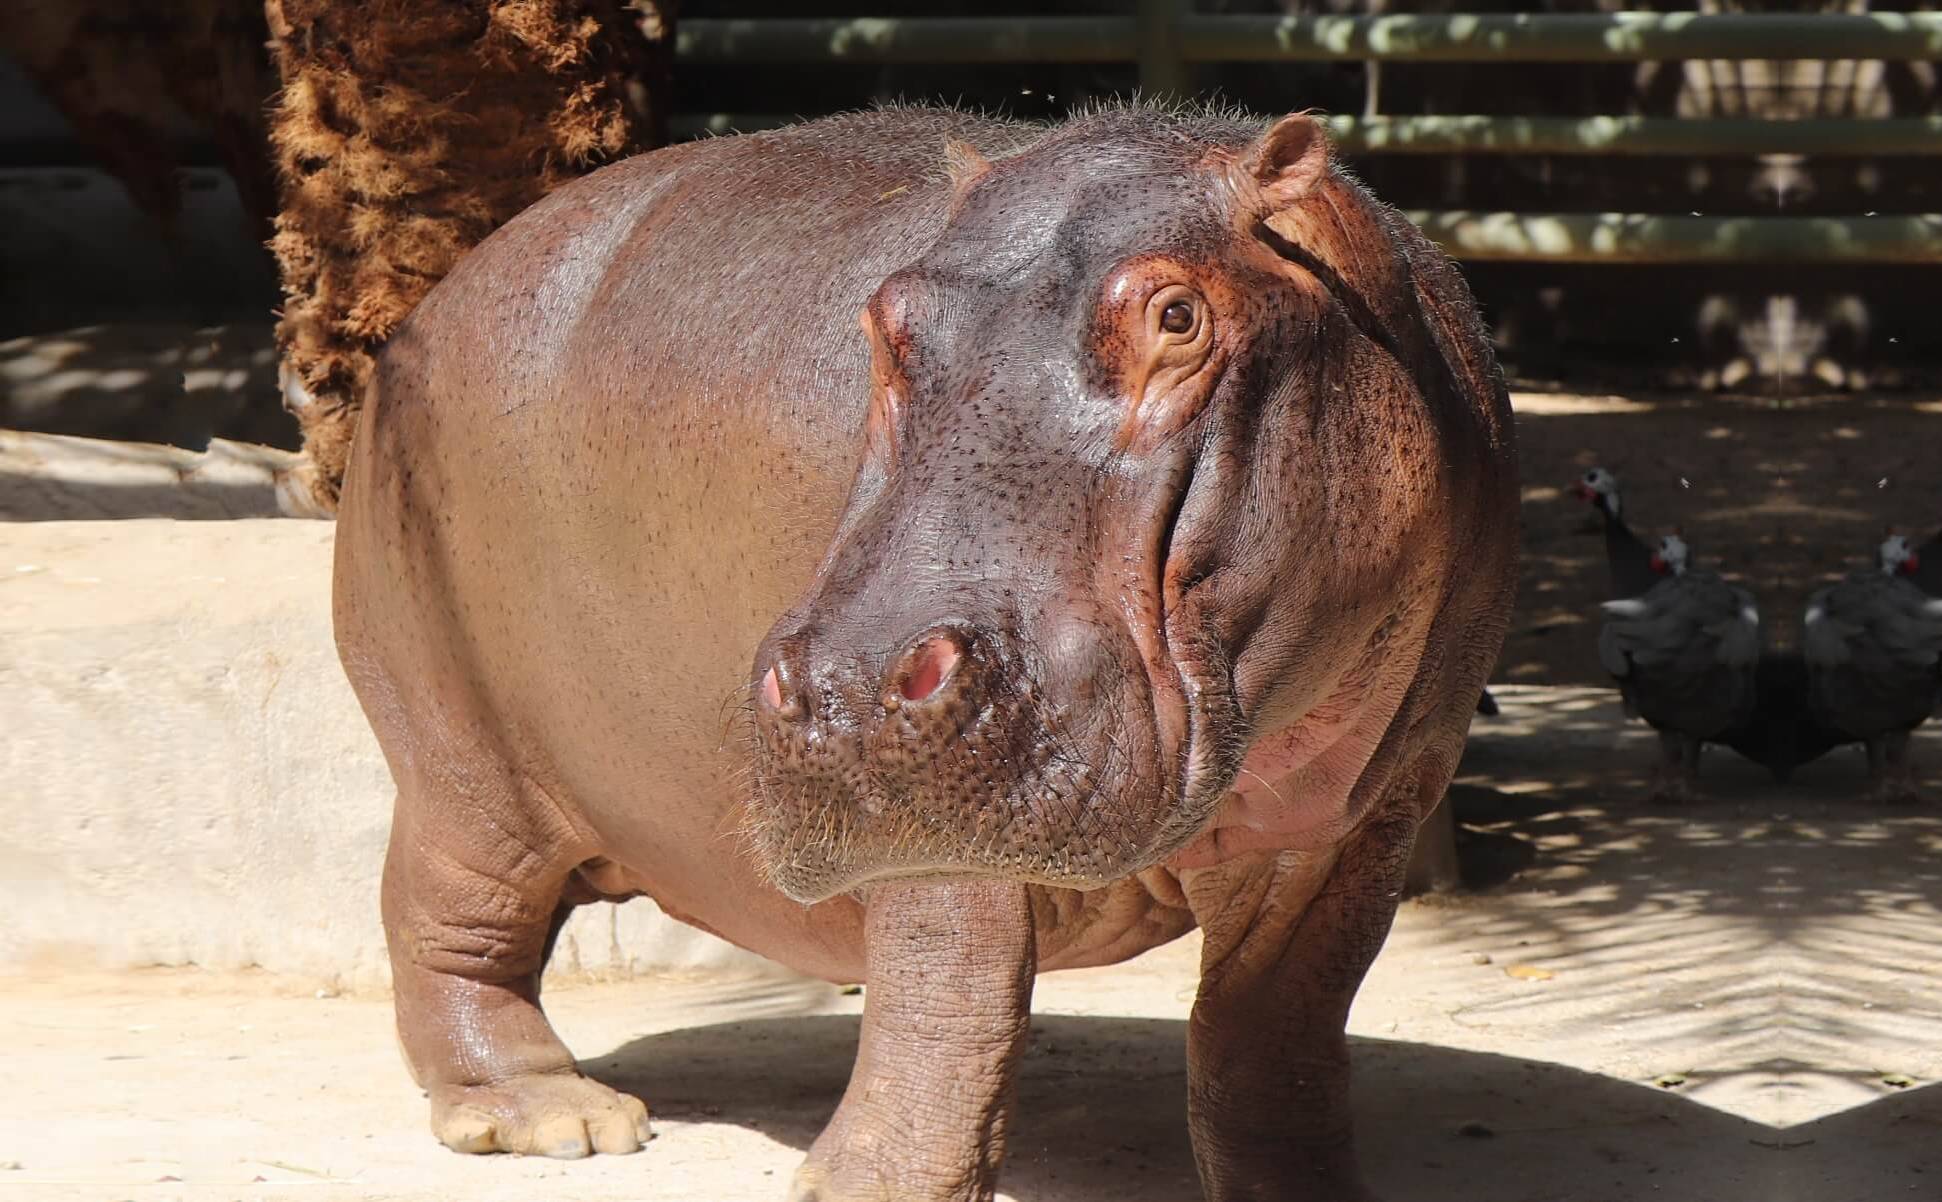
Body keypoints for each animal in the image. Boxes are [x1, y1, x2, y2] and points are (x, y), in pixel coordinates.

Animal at [332, 104, 1518, 1201]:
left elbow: (1275, 1035)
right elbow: (952, 998)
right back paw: (561, 1119)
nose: (845, 686)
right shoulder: (930, 835)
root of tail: (437, 296)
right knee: (443, 918)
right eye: (883, 318)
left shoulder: (1371, 815)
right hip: (463, 762)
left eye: (1178, 313)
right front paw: (868, 1184)